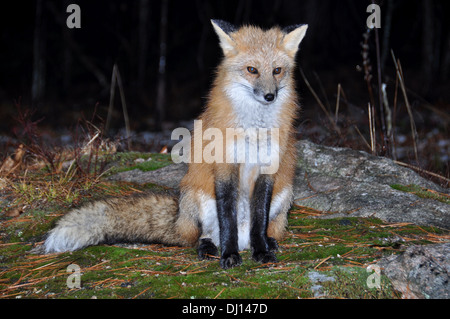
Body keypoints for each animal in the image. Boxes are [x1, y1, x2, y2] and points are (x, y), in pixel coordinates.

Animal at [44, 20, 308, 270]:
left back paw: (268, 242)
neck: (254, 129)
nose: (270, 96)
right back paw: (210, 248)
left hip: (284, 194)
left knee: (263, 227)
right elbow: (227, 221)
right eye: (252, 70)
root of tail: (180, 219)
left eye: (277, 71)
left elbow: (259, 220)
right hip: (198, 197)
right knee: (204, 235)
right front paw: (229, 255)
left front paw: (261, 251)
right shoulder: (225, 167)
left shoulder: (268, 169)